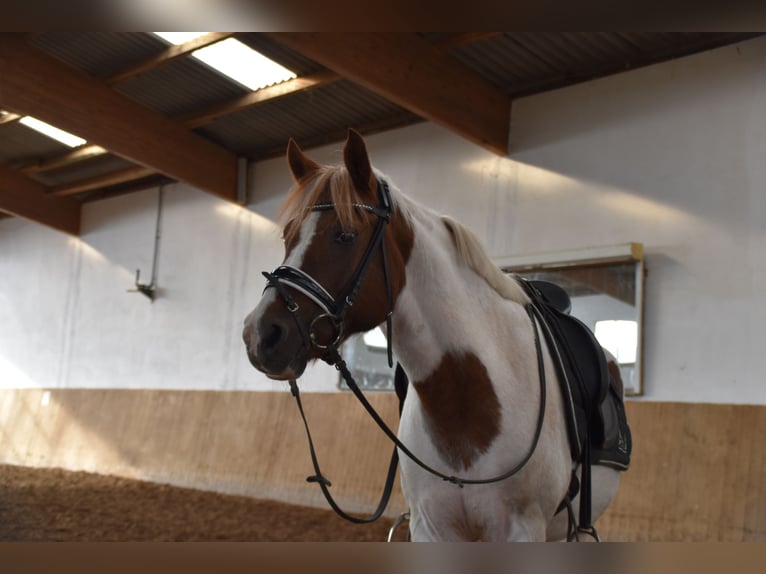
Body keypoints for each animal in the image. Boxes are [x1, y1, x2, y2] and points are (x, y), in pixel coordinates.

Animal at [243, 130, 628, 544]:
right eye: (288, 235)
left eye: (345, 235)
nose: (259, 333)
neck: (468, 399)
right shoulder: (431, 528)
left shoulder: (524, 530)